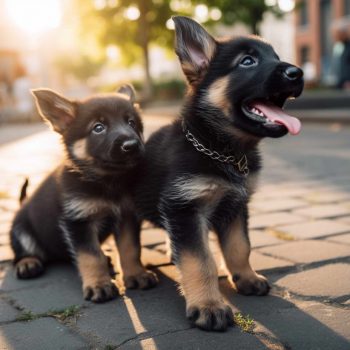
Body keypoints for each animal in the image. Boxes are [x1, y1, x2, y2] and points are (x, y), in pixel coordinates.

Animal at [9, 86, 157, 302]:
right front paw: (99, 284)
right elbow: (90, 256)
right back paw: (28, 263)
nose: (131, 145)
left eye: (131, 123)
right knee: (23, 252)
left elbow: (130, 248)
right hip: (21, 230)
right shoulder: (78, 222)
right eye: (98, 128)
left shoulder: (127, 217)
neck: (107, 182)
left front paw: (136, 274)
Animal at [135, 17, 304, 330]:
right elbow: (200, 262)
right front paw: (208, 305)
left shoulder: (236, 207)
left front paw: (246, 278)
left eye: (275, 57)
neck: (221, 150)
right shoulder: (186, 209)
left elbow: (240, 246)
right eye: (247, 61)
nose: (297, 73)